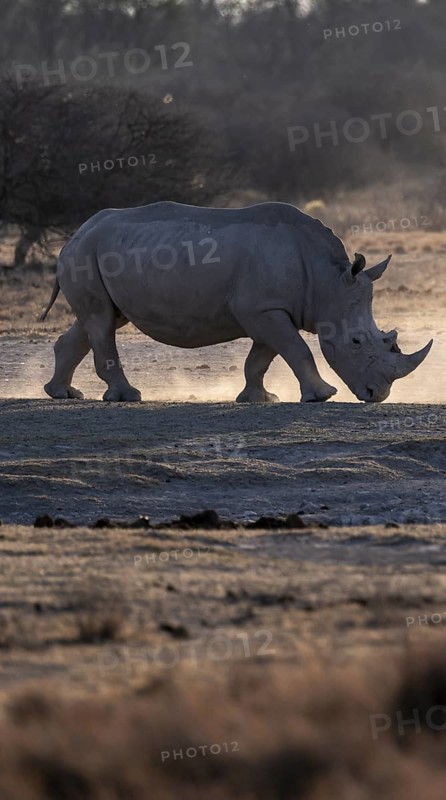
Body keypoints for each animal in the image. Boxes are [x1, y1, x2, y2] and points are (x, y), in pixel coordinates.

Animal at [40, 201, 432, 403]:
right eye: (356, 341)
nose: (378, 395)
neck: (327, 283)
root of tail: (75, 234)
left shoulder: (268, 309)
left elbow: (261, 358)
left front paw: (260, 399)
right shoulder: (262, 309)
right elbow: (297, 350)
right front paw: (322, 395)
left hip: (102, 253)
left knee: (100, 318)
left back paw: (64, 394)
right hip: (86, 253)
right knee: (101, 321)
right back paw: (127, 397)